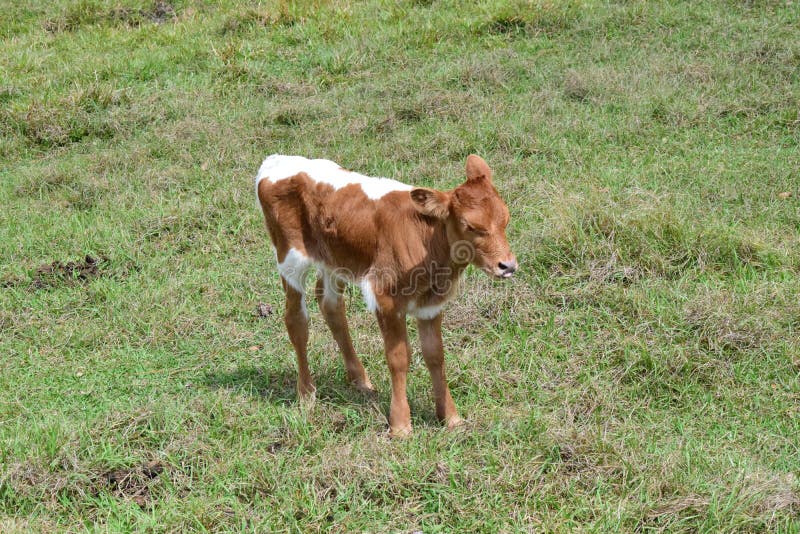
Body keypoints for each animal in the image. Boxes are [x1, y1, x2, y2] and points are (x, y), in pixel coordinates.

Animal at [255, 154, 517, 436]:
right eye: (470, 226)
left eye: (506, 219)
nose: (508, 266)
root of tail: (275, 160)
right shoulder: (386, 298)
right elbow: (399, 358)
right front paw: (401, 425)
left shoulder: (431, 304)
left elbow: (435, 355)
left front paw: (450, 418)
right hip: (289, 257)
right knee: (296, 320)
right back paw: (306, 393)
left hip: (334, 260)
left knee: (331, 307)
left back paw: (360, 379)